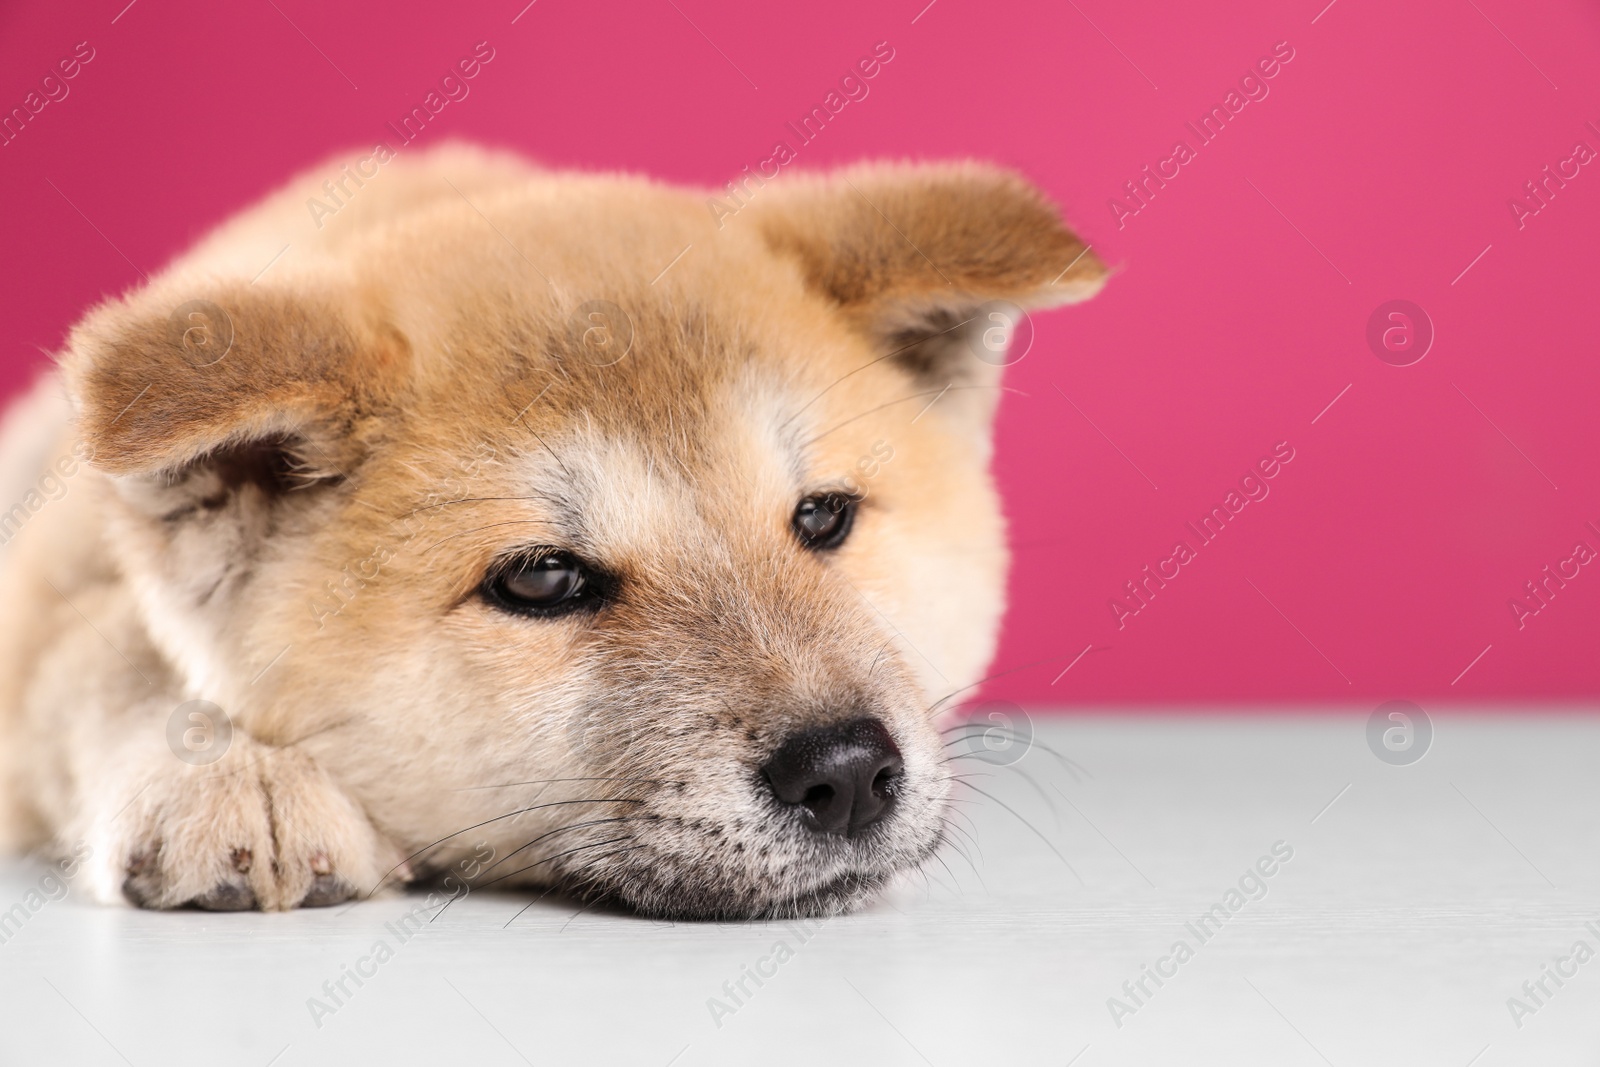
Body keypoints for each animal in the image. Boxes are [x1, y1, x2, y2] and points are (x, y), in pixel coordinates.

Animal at [0, 143, 1107, 921]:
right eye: (541, 580)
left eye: (822, 515)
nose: (843, 770)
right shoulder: (53, 591)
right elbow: (108, 656)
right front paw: (233, 775)